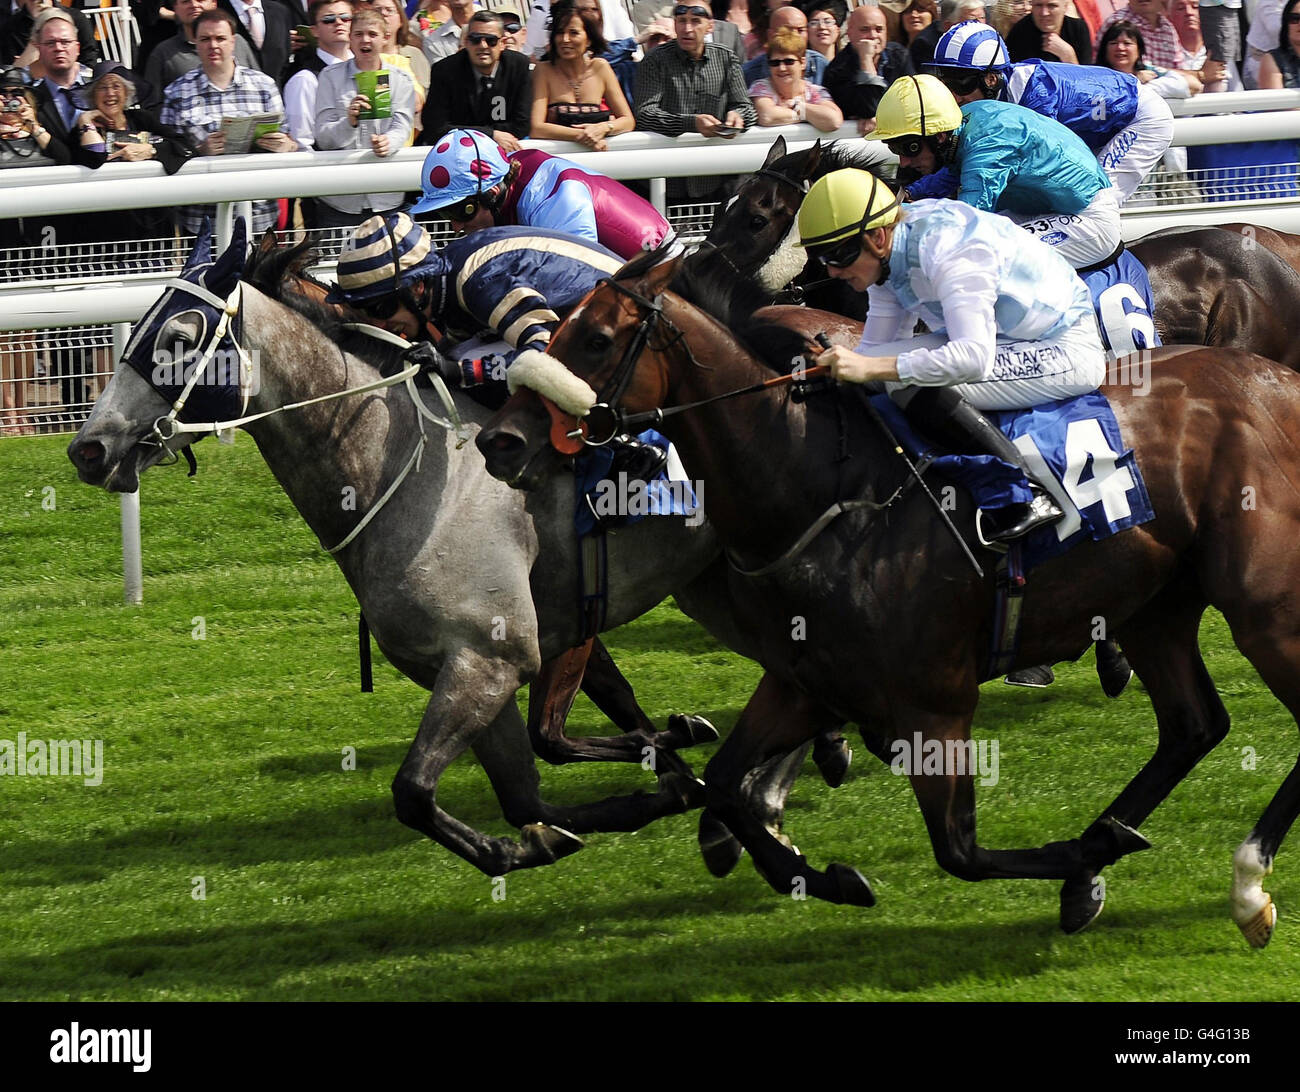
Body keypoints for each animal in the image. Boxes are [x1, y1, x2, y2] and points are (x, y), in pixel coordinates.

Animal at [475, 249, 1300, 946]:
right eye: (556, 328)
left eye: (597, 339)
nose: (500, 441)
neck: (824, 492)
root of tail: (1280, 382)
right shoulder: (803, 684)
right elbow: (725, 787)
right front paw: (822, 874)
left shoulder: (936, 702)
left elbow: (960, 850)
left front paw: (1087, 851)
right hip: (1154, 605)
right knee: (1194, 726)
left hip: (1264, 610)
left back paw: (1246, 885)